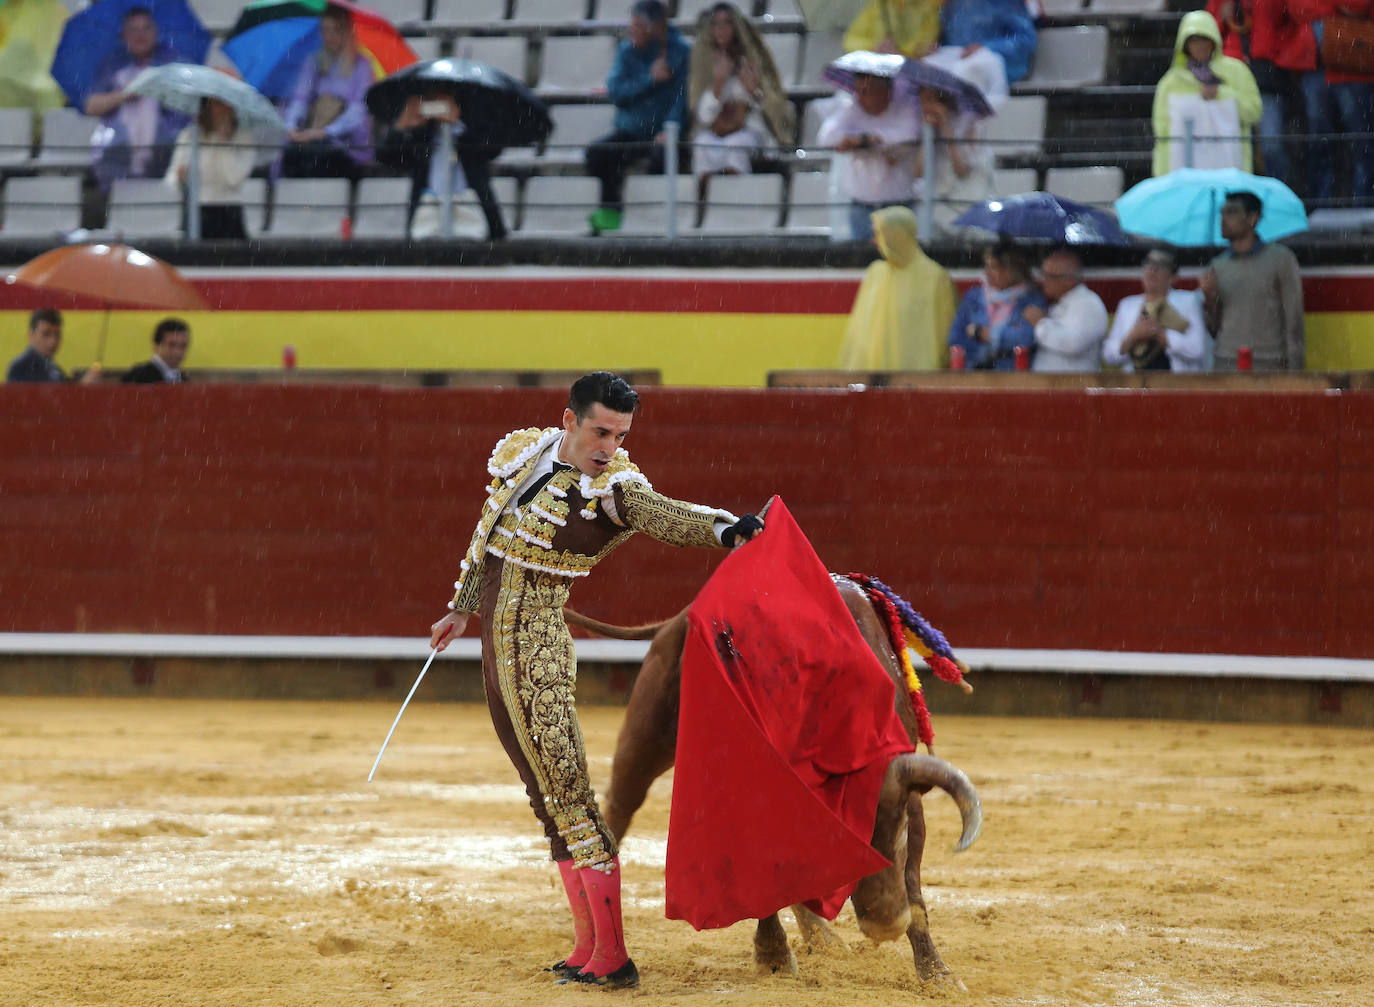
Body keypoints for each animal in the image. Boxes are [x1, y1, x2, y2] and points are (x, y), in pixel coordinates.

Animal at [563, 574, 983, 983]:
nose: (884, 924)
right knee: (619, 809)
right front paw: (774, 955)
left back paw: (822, 938)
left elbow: (913, 886)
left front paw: (936, 972)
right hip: (644, 737)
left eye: (897, 835)